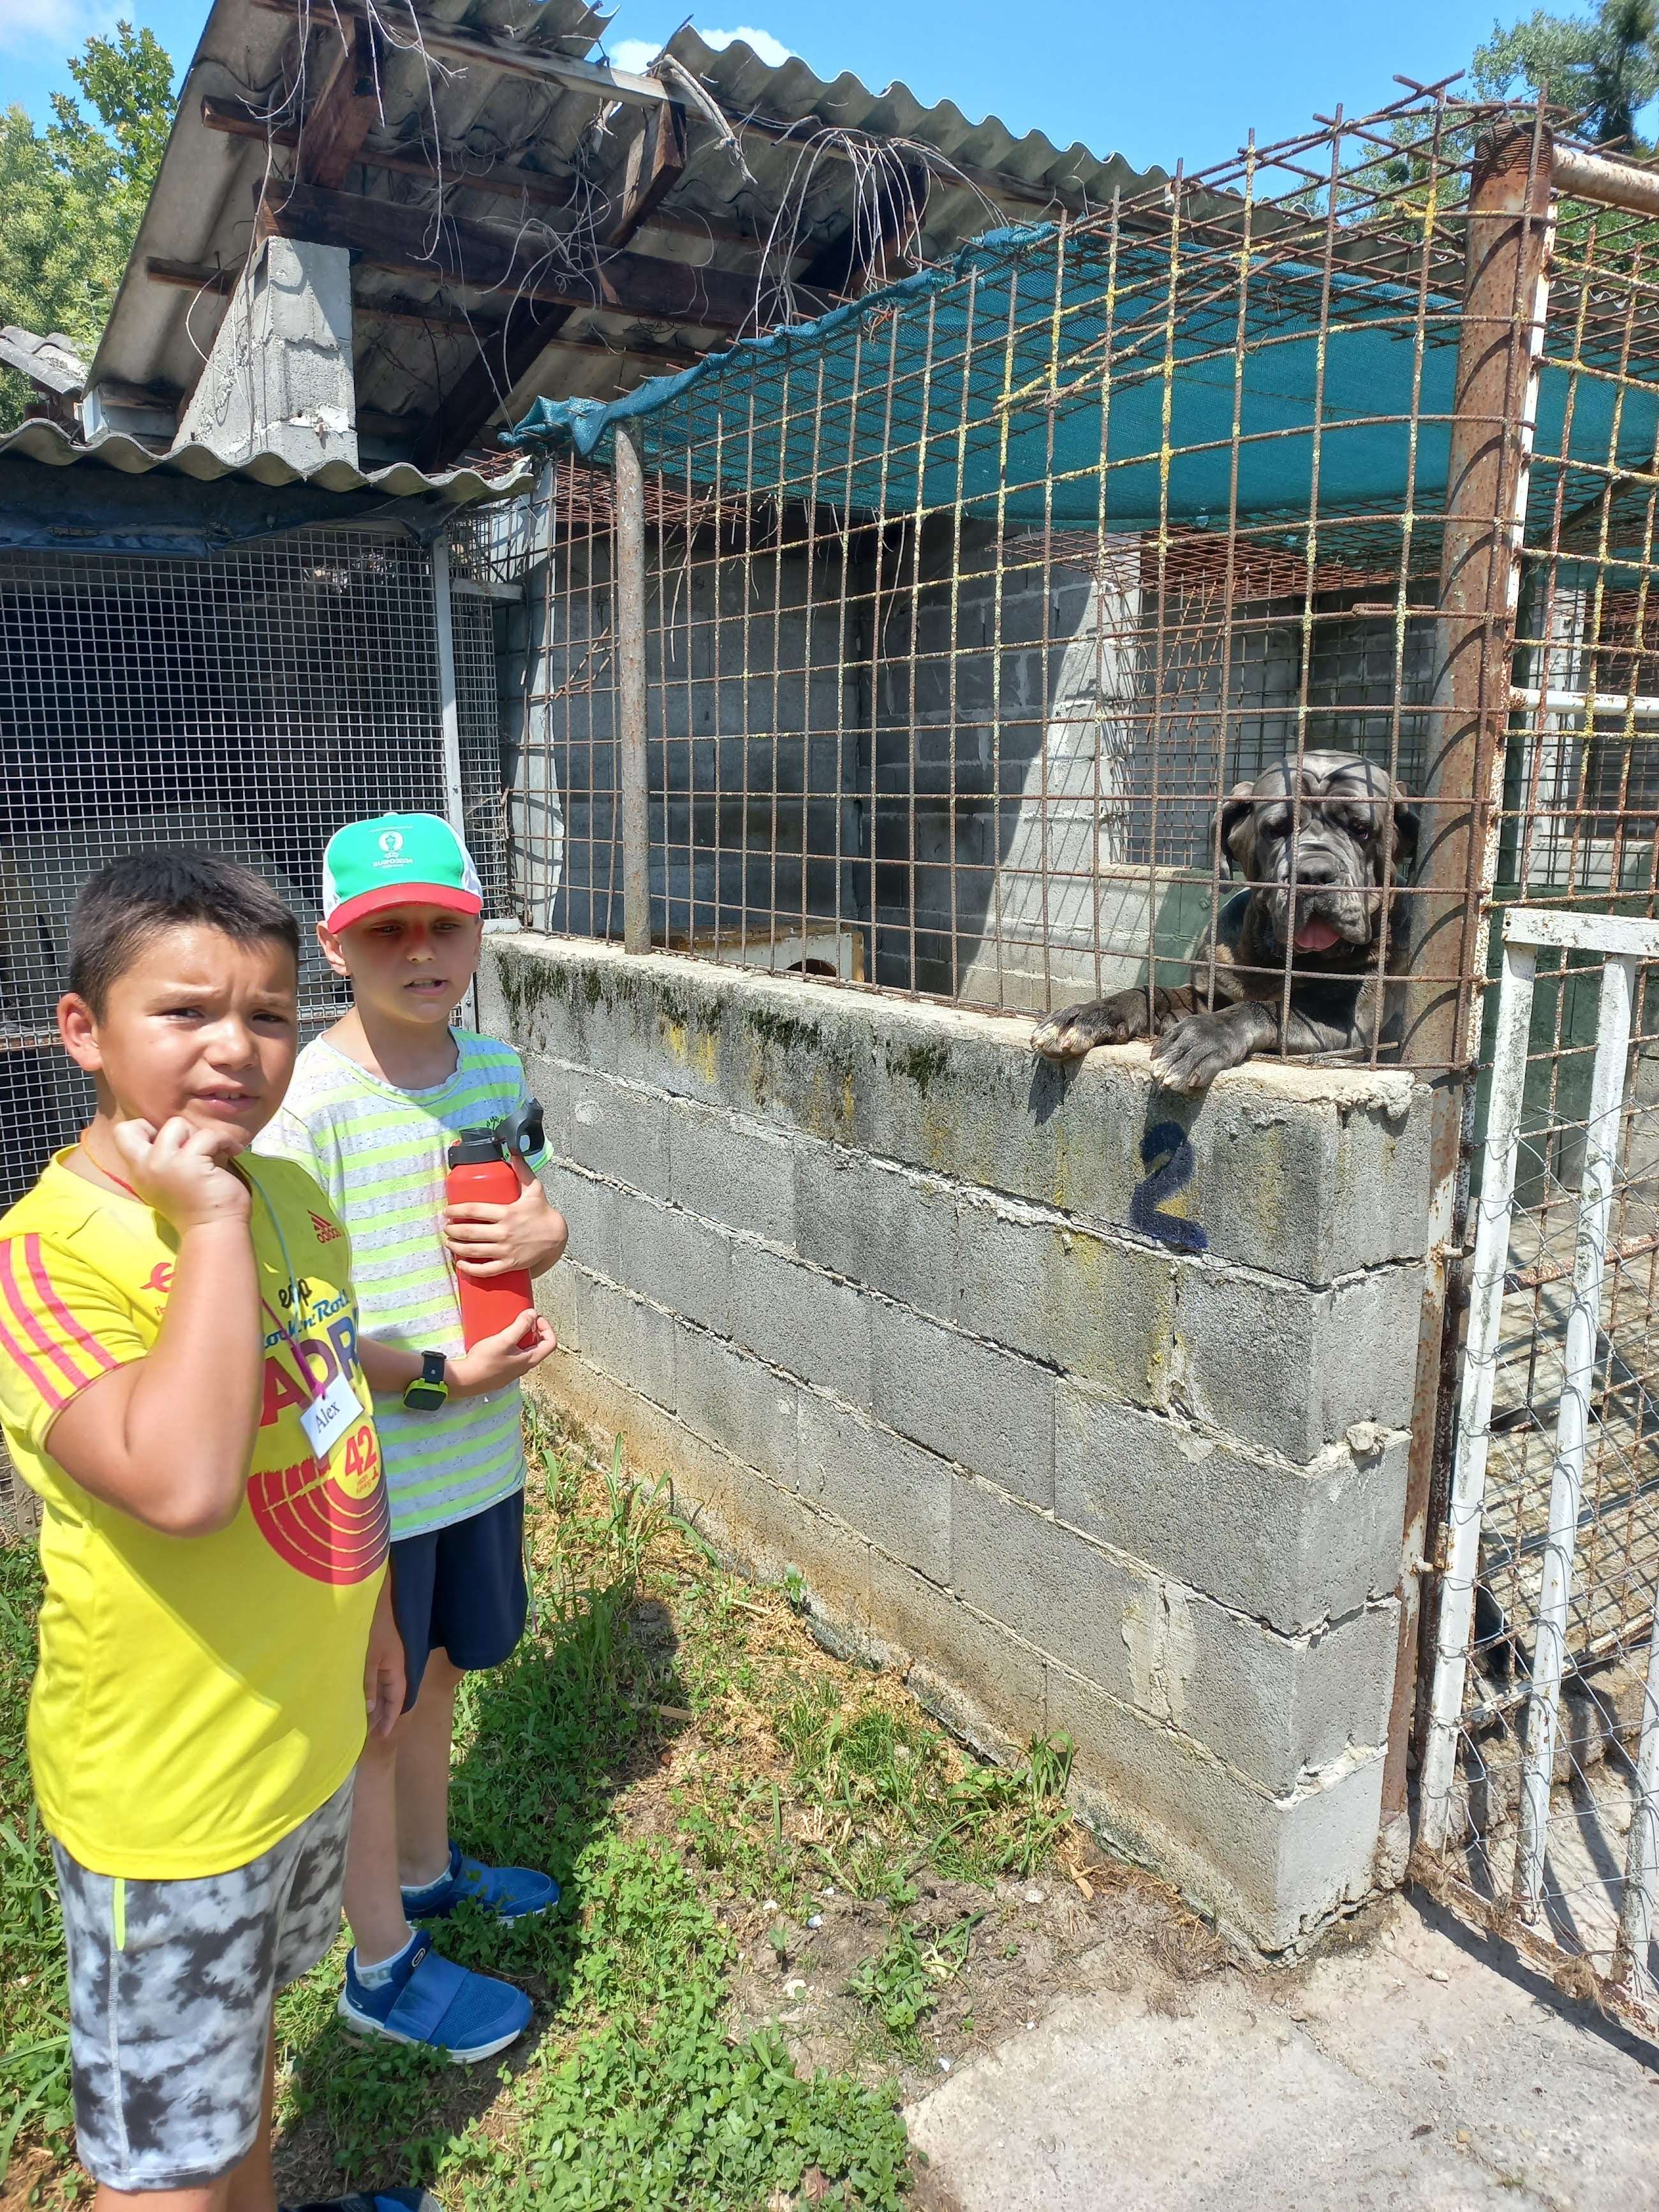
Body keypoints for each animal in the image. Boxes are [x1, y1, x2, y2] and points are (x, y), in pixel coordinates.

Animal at [1031, 752, 1420, 1091]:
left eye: (1361, 828)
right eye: (1276, 829)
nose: (1313, 873)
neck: (1275, 961)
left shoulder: (1348, 1023)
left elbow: (1266, 1009)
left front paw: (1201, 1038)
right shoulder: (1205, 994)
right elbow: (1154, 993)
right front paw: (1087, 1014)